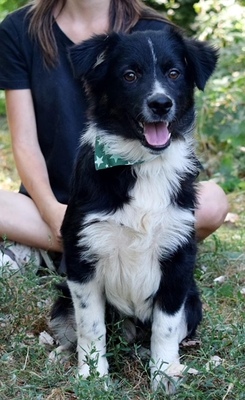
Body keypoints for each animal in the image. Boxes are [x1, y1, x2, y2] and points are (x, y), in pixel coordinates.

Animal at [49, 25, 218, 394]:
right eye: (129, 75)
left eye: (174, 73)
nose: (161, 103)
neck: (142, 164)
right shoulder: (82, 254)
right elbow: (91, 326)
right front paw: (93, 375)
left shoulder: (178, 258)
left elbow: (165, 327)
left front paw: (166, 372)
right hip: (62, 297)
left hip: (194, 301)